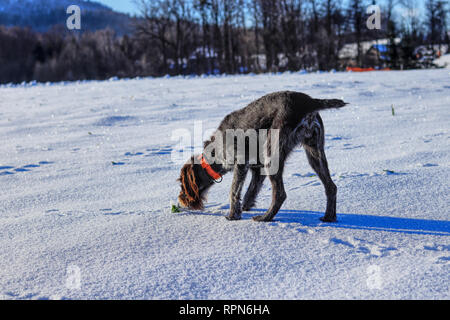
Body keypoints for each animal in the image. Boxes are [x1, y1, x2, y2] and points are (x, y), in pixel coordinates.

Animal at [178, 91, 346, 222]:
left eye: (181, 183)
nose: (181, 200)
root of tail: (308, 102)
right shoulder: (258, 170)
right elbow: (250, 191)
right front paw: (244, 207)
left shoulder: (241, 164)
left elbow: (234, 191)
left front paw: (233, 215)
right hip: (314, 153)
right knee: (331, 187)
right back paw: (329, 217)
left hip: (272, 154)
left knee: (280, 194)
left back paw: (265, 218)